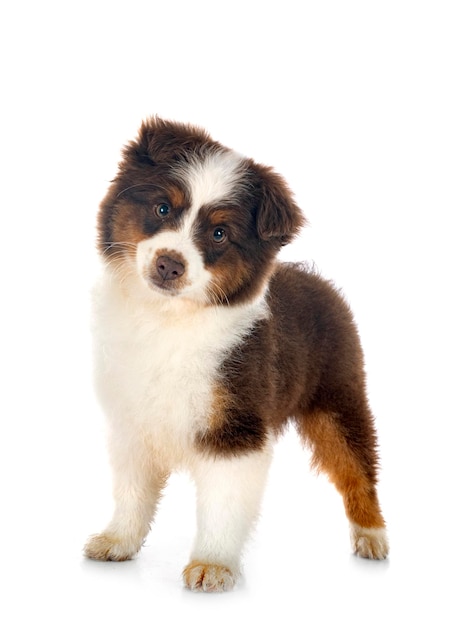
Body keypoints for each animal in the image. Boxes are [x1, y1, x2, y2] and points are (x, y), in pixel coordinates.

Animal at [84, 117, 388, 588]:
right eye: (162, 209)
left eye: (219, 233)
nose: (169, 264)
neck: (169, 319)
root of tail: (318, 280)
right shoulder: (133, 420)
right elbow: (133, 491)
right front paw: (118, 540)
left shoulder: (235, 426)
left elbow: (223, 503)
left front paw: (212, 564)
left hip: (339, 396)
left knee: (356, 463)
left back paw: (371, 534)